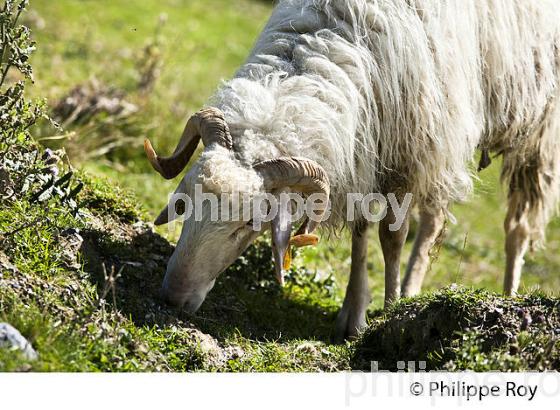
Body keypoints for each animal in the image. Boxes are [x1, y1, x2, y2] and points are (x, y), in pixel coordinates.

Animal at [144, 0, 560, 340]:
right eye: (184, 201)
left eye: (248, 225)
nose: (172, 297)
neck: (330, 38)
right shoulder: (366, 152)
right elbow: (360, 234)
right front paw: (354, 313)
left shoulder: (409, 152)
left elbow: (391, 238)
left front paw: (389, 311)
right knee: (434, 220)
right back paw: (413, 289)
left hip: (535, 131)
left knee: (518, 227)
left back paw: (510, 296)